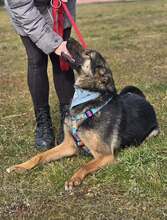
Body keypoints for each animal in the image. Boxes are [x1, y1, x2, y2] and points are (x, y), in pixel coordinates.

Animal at [6, 38, 159, 190]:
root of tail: (142, 98)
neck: (87, 99)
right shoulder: (68, 145)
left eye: (87, 53)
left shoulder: (105, 155)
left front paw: (74, 179)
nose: (68, 38)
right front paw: (21, 166)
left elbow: (84, 166)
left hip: (153, 133)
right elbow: (40, 155)